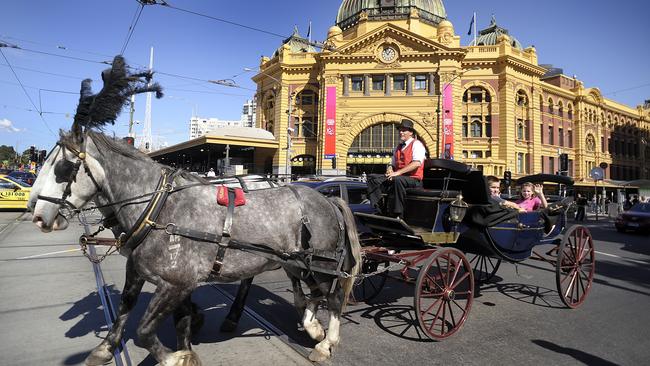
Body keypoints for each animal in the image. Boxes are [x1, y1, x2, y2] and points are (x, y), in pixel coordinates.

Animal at [27, 55, 360, 364]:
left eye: (63, 167)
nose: (37, 214)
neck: (157, 210)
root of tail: (327, 199)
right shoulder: (139, 272)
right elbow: (126, 308)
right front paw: (107, 347)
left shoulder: (177, 284)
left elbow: (146, 329)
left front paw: (177, 356)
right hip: (296, 262)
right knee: (309, 292)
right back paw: (308, 324)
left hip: (323, 263)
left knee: (332, 297)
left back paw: (324, 341)